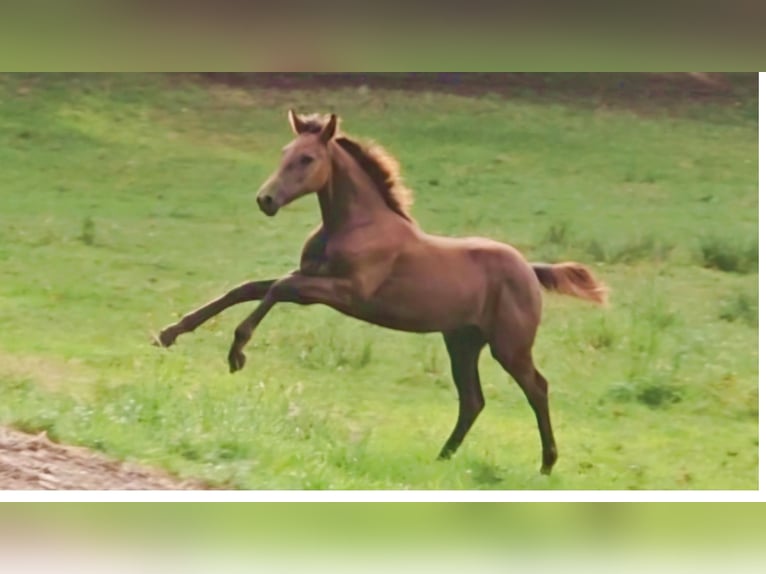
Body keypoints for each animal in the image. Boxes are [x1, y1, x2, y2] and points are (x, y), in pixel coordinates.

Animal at [156, 110, 608, 474]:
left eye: (307, 159)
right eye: (285, 151)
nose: (265, 200)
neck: (358, 225)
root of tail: (530, 270)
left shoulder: (343, 292)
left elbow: (277, 289)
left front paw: (237, 352)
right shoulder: (311, 277)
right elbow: (247, 288)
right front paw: (169, 333)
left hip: (509, 347)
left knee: (537, 389)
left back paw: (546, 464)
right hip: (462, 342)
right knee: (472, 401)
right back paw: (442, 458)